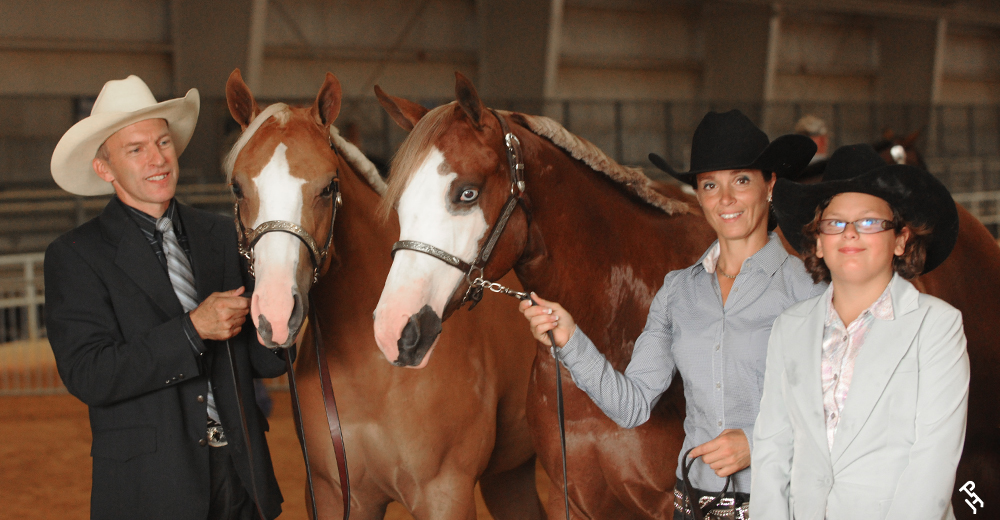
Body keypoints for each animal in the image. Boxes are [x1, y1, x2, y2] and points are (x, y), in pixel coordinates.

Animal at [223, 69, 544, 520]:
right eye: (238, 188)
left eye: (328, 187)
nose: (276, 311)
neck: (374, 368)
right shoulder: (336, 495)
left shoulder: (445, 494)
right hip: (510, 474)